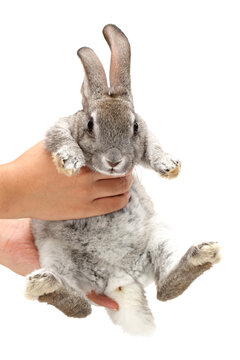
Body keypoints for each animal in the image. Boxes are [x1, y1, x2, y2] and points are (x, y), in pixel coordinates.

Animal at [24, 24, 221, 334]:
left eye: (135, 125)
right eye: (90, 125)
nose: (114, 160)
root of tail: (118, 276)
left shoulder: (146, 139)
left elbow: (152, 148)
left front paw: (169, 166)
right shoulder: (58, 129)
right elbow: (61, 139)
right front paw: (70, 161)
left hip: (159, 237)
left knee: (166, 289)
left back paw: (200, 255)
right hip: (55, 254)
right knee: (81, 307)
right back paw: (45, 284)